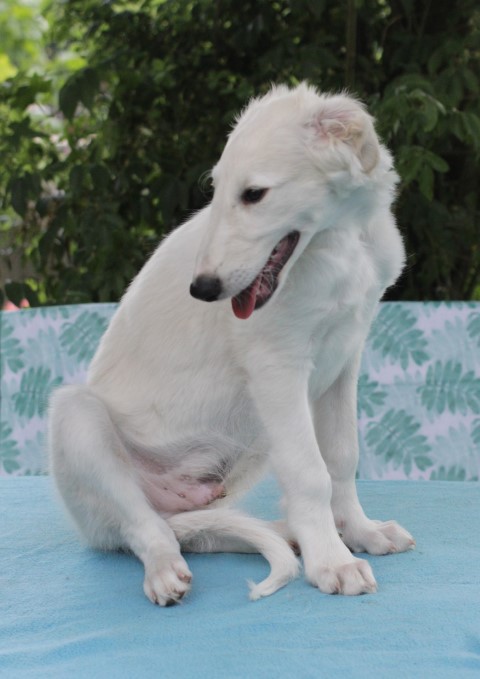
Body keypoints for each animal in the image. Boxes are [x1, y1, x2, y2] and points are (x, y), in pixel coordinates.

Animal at [49, 83, 415, 606]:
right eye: (216, 190)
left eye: (254, 194)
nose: (201, 289)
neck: (341, 241)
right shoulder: (277, 367)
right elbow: (311, 473)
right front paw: (332, 562)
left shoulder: (346, 354)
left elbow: (342, 457)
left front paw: (361, 533)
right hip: (78, 418)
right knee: (144, 528)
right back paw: (164, 568)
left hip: (248, 450)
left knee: (202, 531)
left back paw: (285, 533)